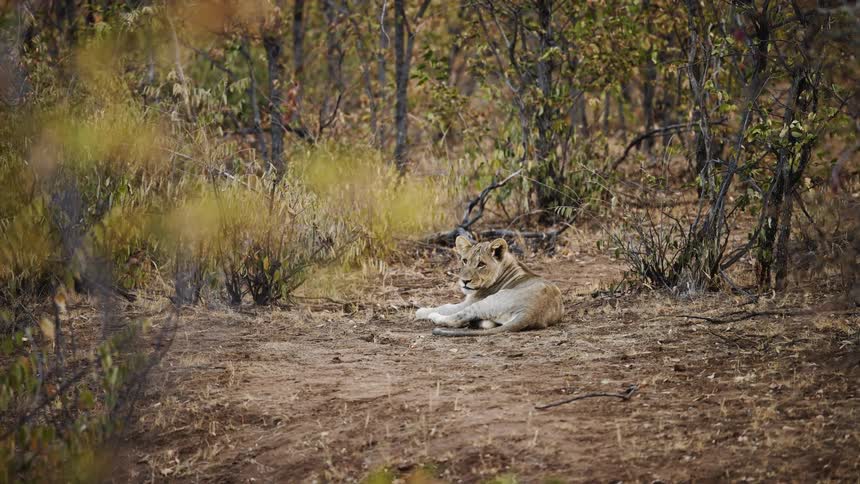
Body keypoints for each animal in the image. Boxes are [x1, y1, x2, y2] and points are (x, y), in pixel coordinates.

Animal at [415, 236, 564, 336]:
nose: (464, 281)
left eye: (481, 264)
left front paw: (421, 311)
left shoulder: (471, 301)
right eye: (464, 261)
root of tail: (530, 312)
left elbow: (446, 306)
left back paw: (435, 316)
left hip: (487, 302)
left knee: (458, 319)